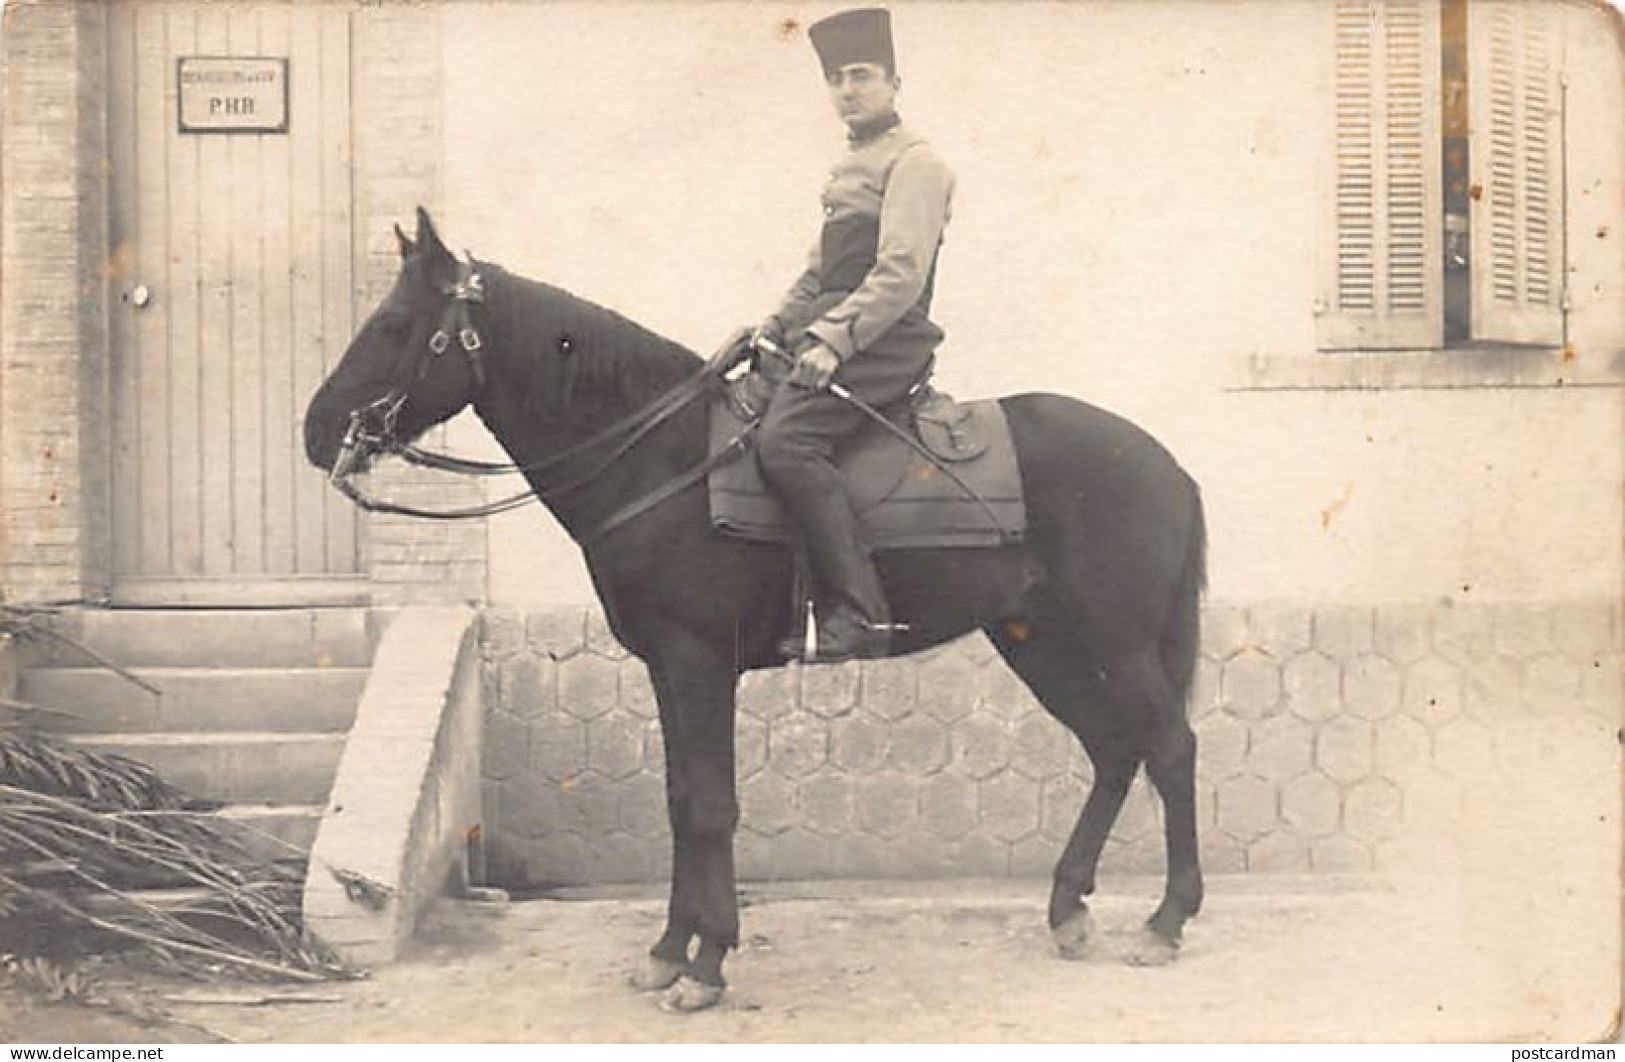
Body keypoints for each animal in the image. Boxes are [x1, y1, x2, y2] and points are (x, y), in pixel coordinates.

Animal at [305, 209, 1209, 1013]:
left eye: (393, 324)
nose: (316, 433)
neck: (657, 460)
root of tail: (1165, 462)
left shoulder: (699, 664)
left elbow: (711, 806)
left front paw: (707, 963)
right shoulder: (668, 669)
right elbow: (682, 800)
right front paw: (669, 951)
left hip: (1116, 643)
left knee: (1168, 747)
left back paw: (1164, 922)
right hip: (1039, 641)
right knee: (1113, 748)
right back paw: (1068, 909)